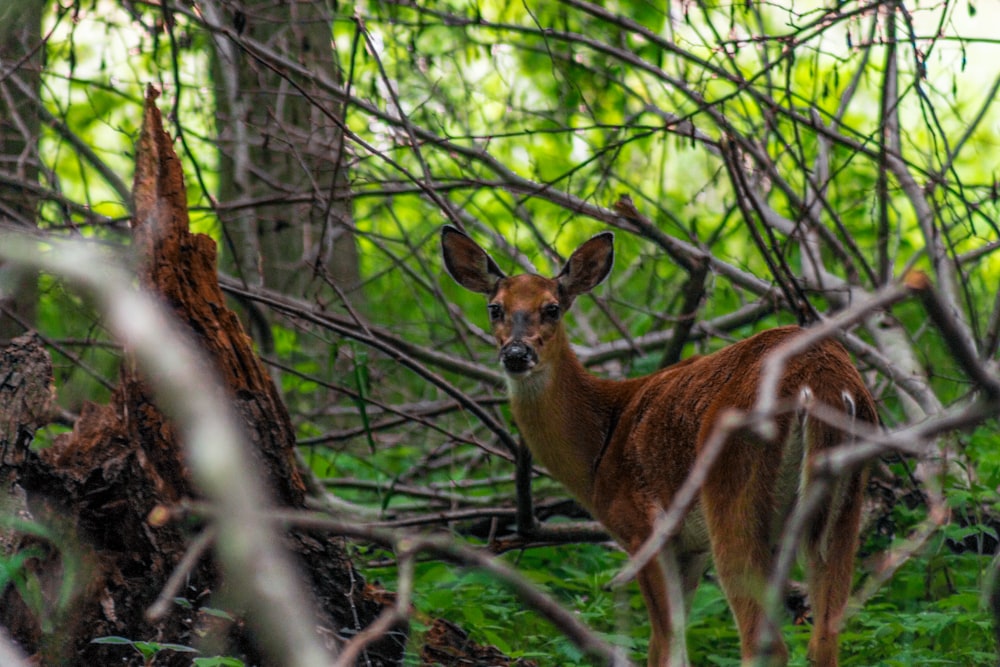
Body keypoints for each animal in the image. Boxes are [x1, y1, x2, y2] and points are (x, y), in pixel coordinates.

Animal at [442, 227, 872, 664]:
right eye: (495, 308)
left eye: (552, 308)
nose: (516, 353)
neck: (599, 447)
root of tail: (822, 381)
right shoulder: (690, 548)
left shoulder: (643, 526)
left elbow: (666, 644)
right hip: (844, 505)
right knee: (826, 635)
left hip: (734, 492)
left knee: (764, 643)